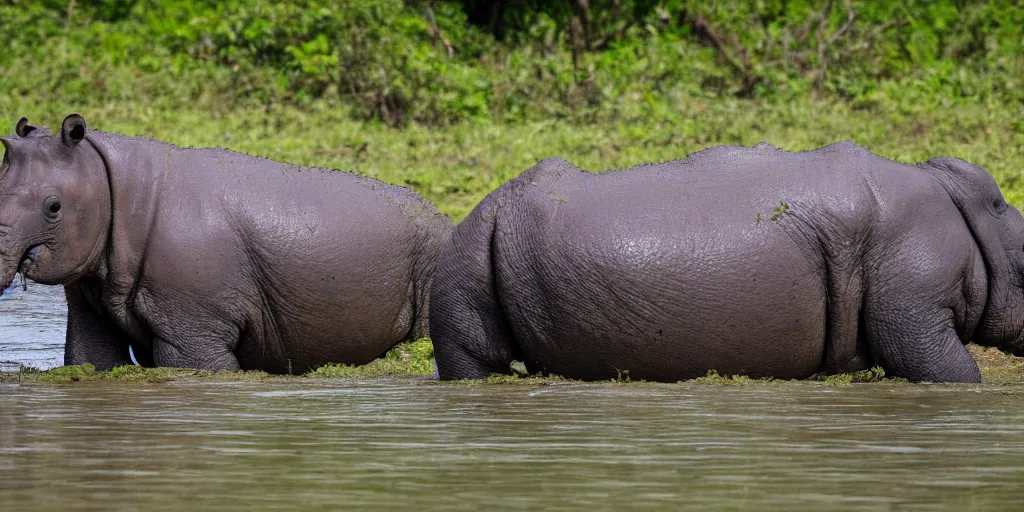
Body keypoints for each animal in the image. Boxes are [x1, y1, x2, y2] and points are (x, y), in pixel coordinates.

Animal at [0, 115, 450, 372]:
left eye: (53, 207)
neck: (105, 179)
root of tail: (445, 218)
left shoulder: (193, 331)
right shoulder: (91, 295)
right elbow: (90, 359)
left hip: (433, 257)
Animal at [430, 142, 1024, 382]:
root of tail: (485, 205)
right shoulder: (912, 304)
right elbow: (950, 370)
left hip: (478, 238)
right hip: (469, 247)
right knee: (472, 354)